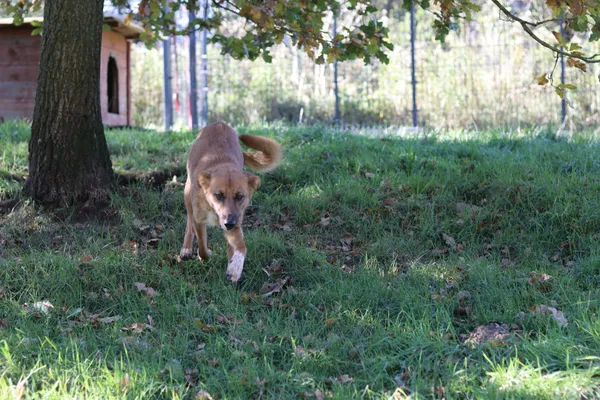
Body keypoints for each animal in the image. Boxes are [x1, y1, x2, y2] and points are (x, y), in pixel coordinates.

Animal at [179, 120, 282, 282]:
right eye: (218, 195)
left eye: (239, 196)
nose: (228, 223)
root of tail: (219, 123)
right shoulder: (199, 220)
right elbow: (202, 249)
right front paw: (204, 255)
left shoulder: (236, 224)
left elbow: (241, 247)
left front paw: (235, 268)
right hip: (187, 193)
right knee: (189, 220)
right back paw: (186, 248)